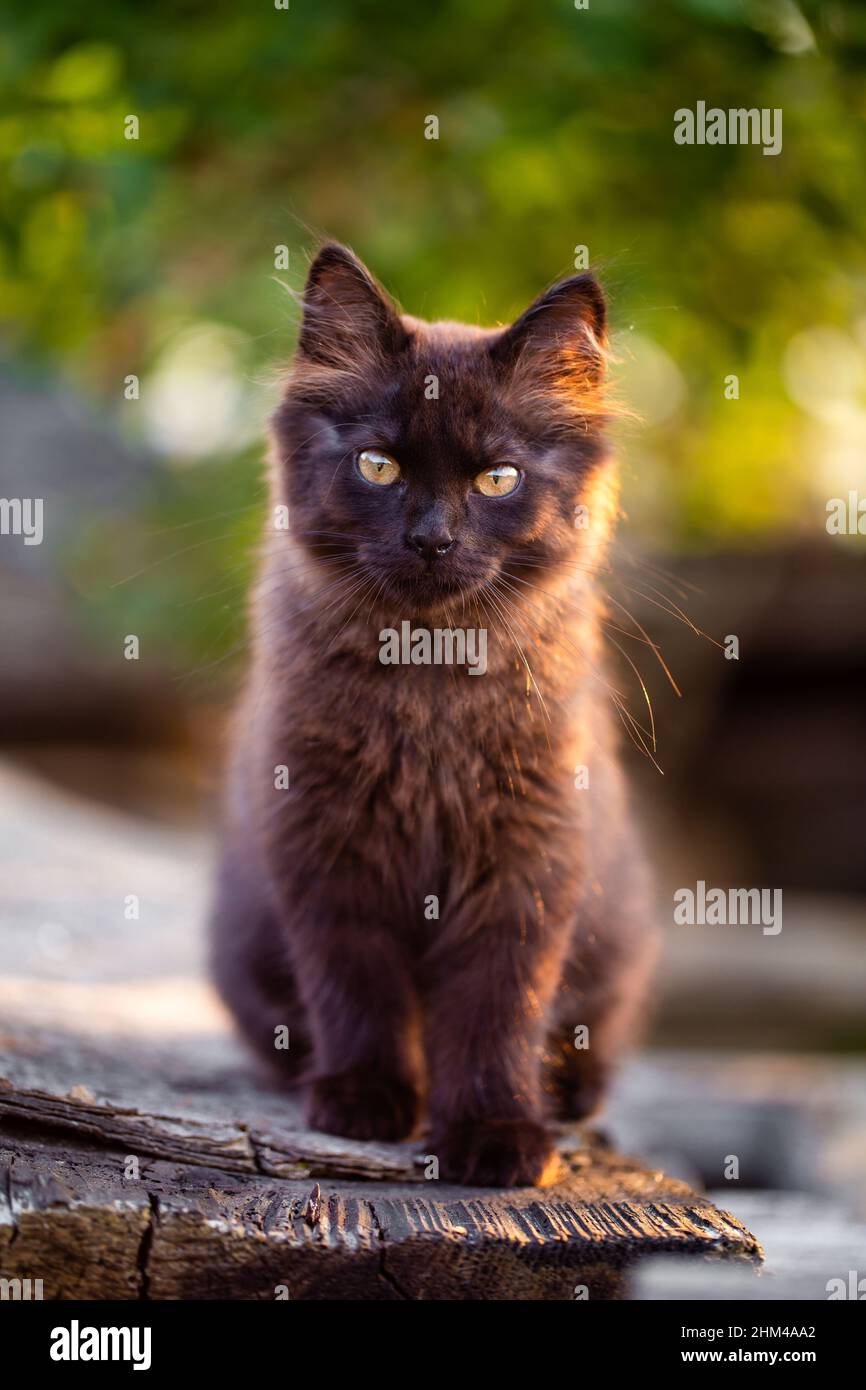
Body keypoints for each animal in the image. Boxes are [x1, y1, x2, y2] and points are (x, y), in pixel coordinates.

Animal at [209, 244, 656, 1189]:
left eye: (498, 479)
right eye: (379, 466)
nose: (431, 539)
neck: (430, 690)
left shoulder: (528, 855)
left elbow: (497, 1006)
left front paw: (495, 1133)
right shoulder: (322, 836)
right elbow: (356, 981)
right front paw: (365, 1098)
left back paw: (565, 1097)